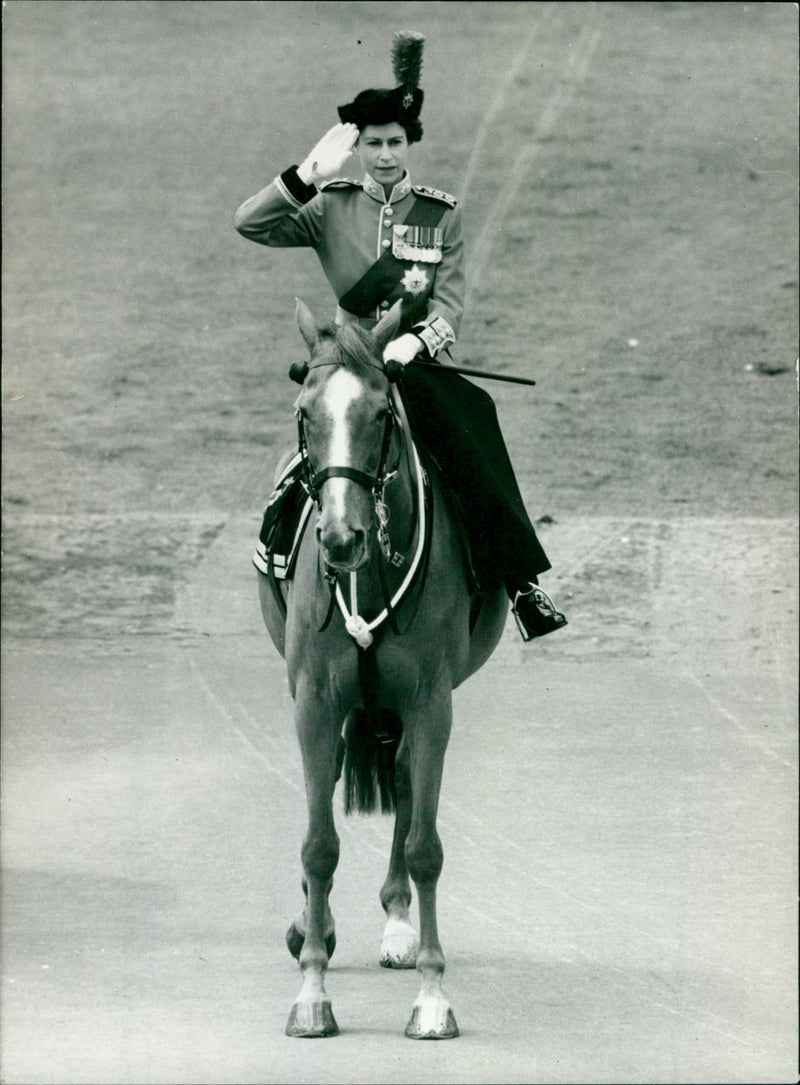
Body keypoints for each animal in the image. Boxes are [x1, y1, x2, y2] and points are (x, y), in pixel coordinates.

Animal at [256, 299, 505, 1041]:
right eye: (306, 412)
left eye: (381, 415)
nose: (341, 537)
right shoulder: (313, 700)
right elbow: (319, 844)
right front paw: (312, 989)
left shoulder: (431, 703)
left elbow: (425, 845)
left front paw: (432, 994)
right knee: (339, 780)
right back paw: (314, 923)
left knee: (400, 782)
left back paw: (397, 922)